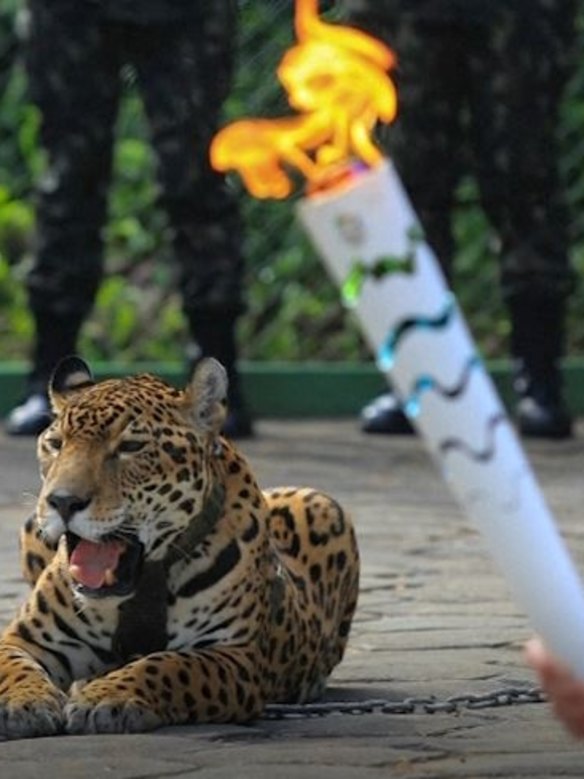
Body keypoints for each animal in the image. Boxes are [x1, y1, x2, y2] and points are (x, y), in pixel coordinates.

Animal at [0, 356, 359, 739]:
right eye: (55, 443)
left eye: (130, 447)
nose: (63, 502)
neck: (146, 580)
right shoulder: (26, 640)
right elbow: (14, 667)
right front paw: (22, 702)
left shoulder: (234, 655)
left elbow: (166, 665)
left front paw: (107, 696)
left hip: (323, 504)